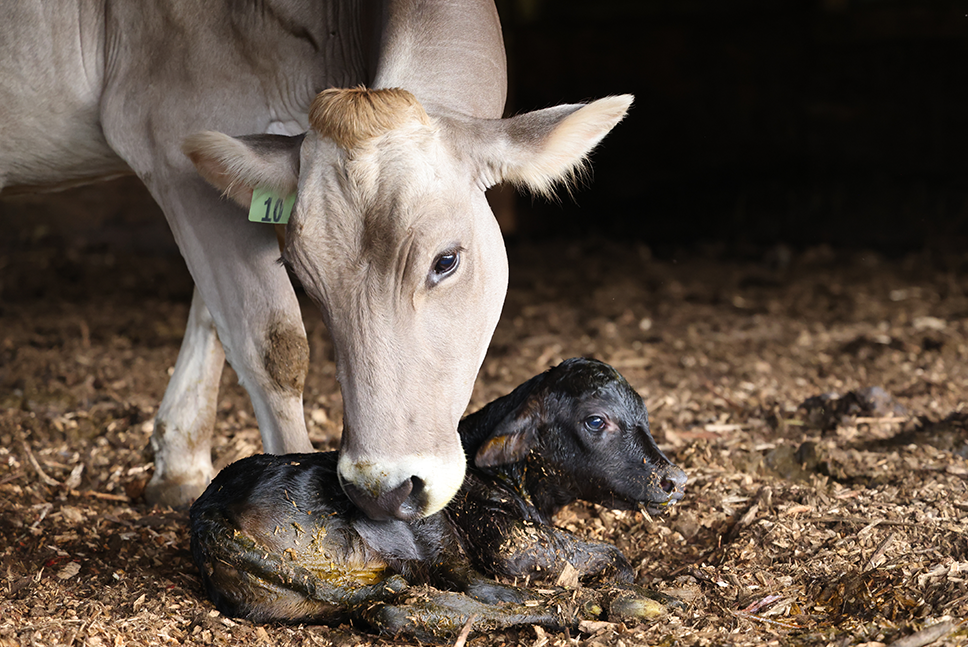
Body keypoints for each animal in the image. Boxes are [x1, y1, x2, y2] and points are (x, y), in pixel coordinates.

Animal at [0, 0, 632, 520]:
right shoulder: (168, 131)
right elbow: (269, 344)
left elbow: (216, 314)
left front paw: (180, 464)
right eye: (301, 274)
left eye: (446, 261)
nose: (383, 490)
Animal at [191, 356, 688, 640]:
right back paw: (628, 603)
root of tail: (207, 511)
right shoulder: (517, 546)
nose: (675, 479)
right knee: (484, 597)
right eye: (596, 421)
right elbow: (613, 552)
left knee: (406, 611)